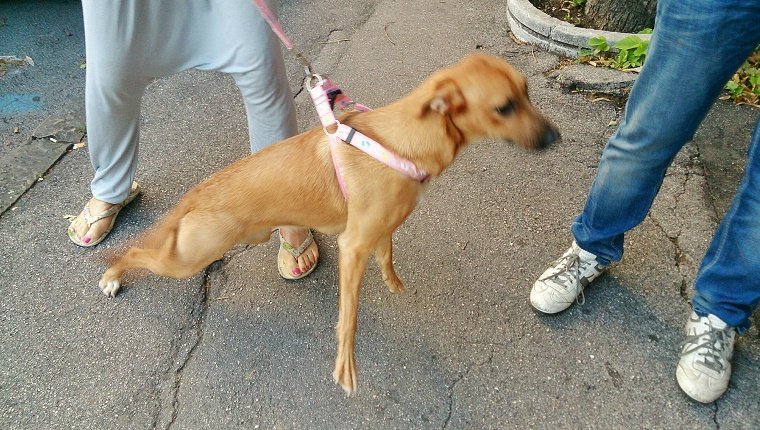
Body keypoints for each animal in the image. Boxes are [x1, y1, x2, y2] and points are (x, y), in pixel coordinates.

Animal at [99, 53, 560, 396]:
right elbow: (349, 316)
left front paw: (392, 281)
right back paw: (111, 275)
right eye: (504, 107)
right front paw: (345, 363)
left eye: (527, 92)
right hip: (188, 258)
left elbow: (387, 254)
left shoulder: (379, 230)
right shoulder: (353, 246)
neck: (404, 140)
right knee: (137, 252)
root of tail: (198, 192)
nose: (555, 138)